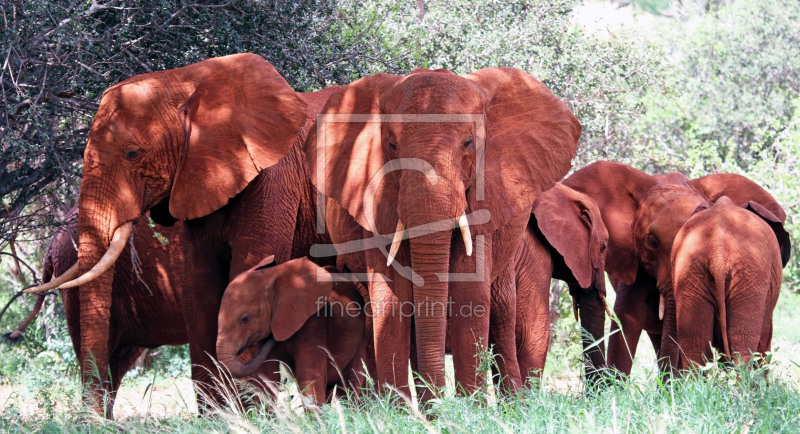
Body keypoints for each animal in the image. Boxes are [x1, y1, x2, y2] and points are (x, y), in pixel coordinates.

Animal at [25, 54, 338, 414]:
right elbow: (200, 292)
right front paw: (221, 418)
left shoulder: (273, 177)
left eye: (133, 153)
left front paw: (253, 417)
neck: (187, 82)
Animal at [304, 68, 580, 400]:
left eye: (469, 142)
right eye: (391, 145)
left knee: (503, 315)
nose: (439, 404)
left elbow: (470, 293)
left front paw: (470, 408)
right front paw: (403, 411)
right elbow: (391, 298)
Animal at [664, 197, 788, 370]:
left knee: (695, 346)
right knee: (742, 346)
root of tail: (718, 254)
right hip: (750, 274)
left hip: (689, 270)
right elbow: (764, 343)